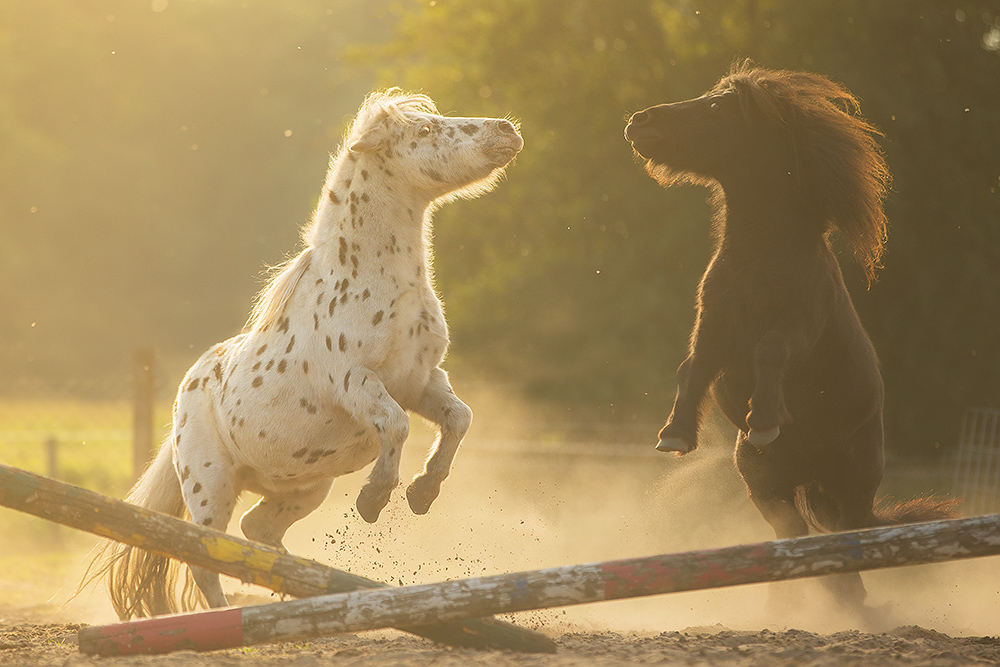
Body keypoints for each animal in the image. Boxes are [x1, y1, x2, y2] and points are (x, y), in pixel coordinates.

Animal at [89, 91, 524, 620]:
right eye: (423, 131)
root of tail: (186, 392)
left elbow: (459, 419)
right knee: (205, 561)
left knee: (258, 532)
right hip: (210, 487)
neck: (376, 283)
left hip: (305, 487)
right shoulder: (356, 383)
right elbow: (396, 425)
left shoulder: (423, 382)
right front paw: (375, 498)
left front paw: (423, 493)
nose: (506, 129)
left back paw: (306, 592)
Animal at [620, 65, 956, 612]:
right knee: (794, 536)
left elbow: (769, 351)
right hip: (770, 488)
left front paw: (765, 419)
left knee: (844, 540)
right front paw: (676, 433)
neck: (759, 258)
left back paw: (851, 599)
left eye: (717, 108)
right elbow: (693, 368)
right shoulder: (712, 326)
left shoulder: (799, 325)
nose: (639, 121)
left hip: (851, 485)